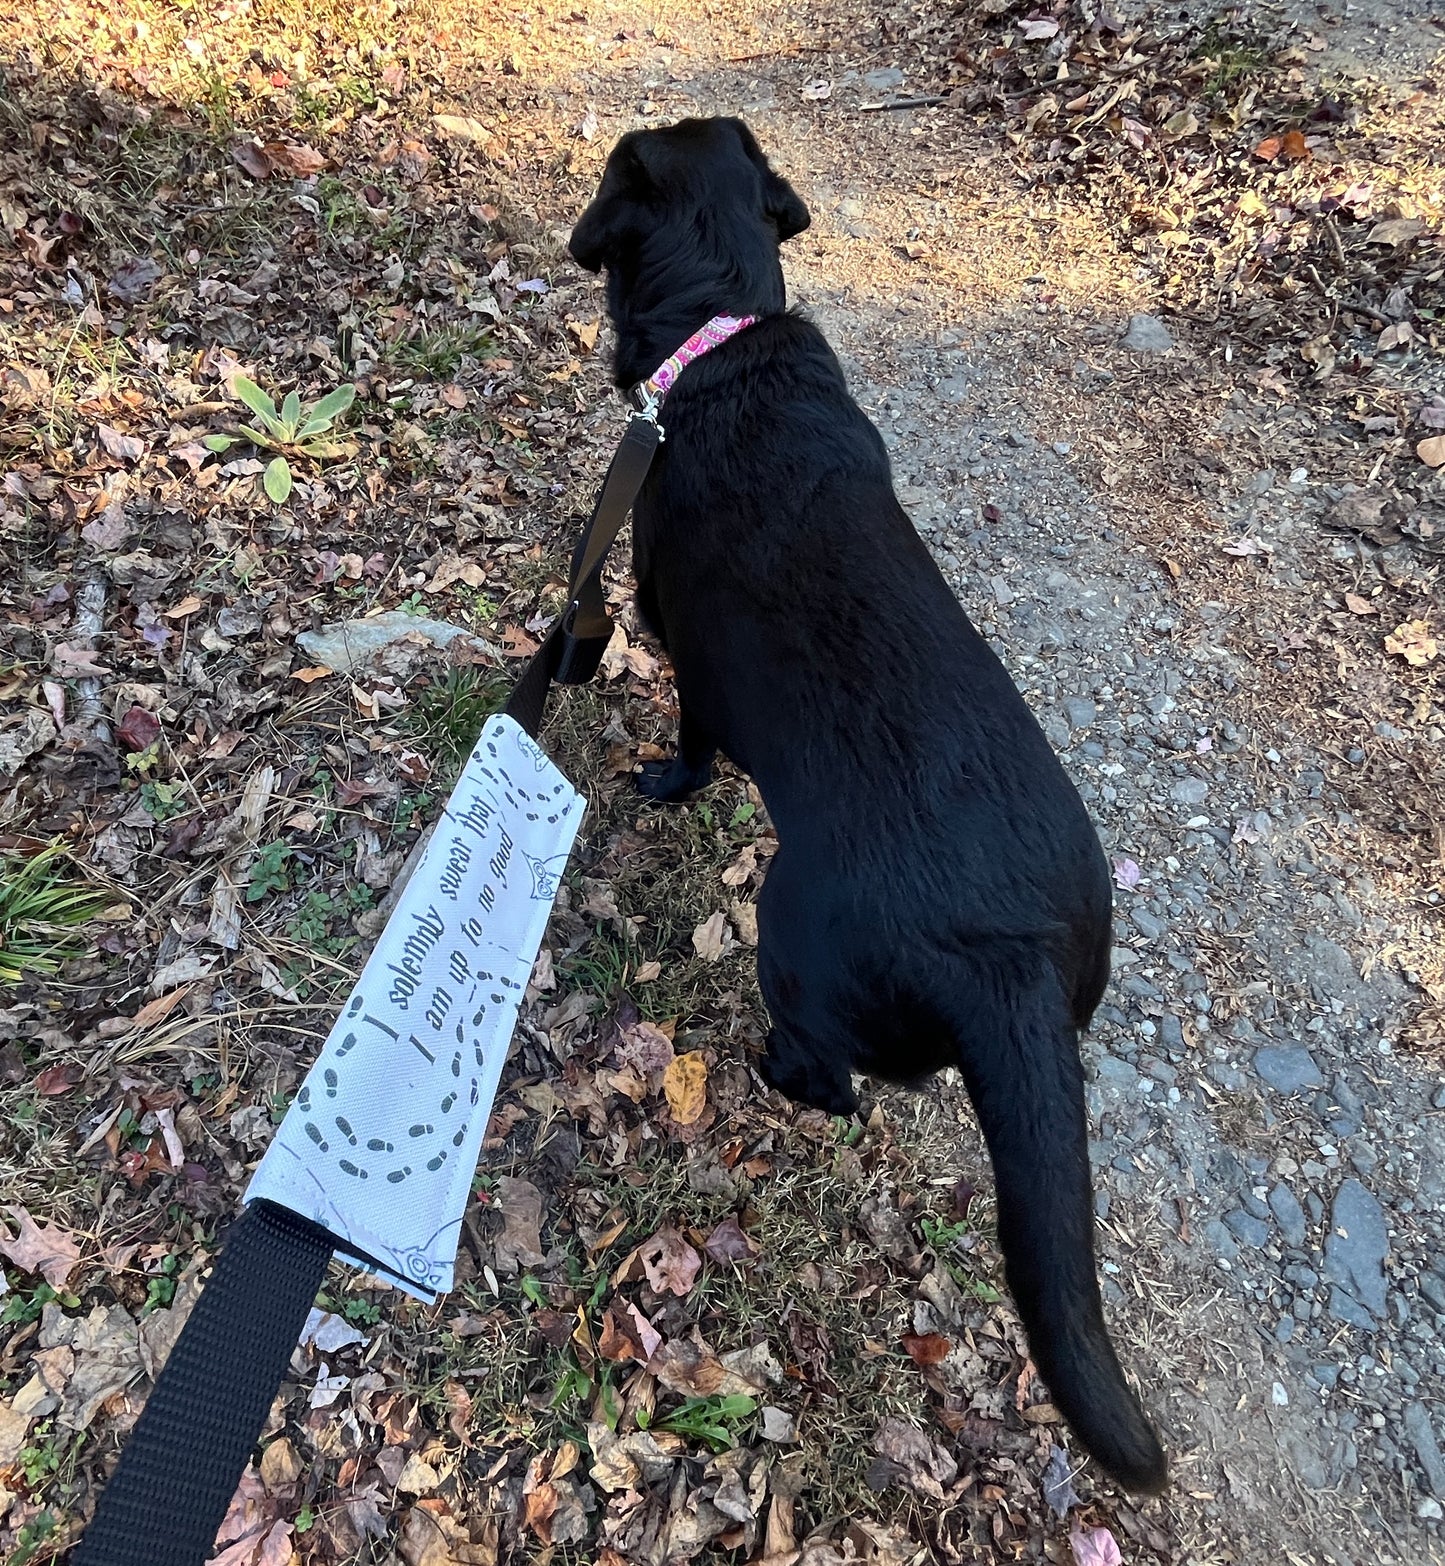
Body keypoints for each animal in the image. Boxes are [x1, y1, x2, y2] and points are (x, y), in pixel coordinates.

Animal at [569, 113, 1171, 1490]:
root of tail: (1005, 959)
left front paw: (665, 783)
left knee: (827, 1080)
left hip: (791, 934)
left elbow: (691, 745)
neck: (720, 332)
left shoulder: (684, 654)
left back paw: (756, 1065)